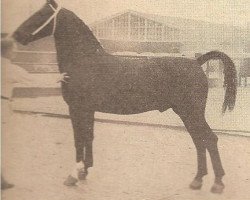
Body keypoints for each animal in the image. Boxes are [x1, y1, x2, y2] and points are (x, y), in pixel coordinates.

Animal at [13, 0, 236, 194]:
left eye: (41, 14)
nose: (16, 35)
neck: (85, 61)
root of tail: (197, 62)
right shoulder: (88, 110)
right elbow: (88, 137)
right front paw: (85, 170)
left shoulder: (77, 108)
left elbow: (78, 139)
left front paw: (73, 176)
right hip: (187, 114)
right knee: (200, 141)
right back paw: (198, 180)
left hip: (191, 113)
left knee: (209, 139)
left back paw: (216, 183)